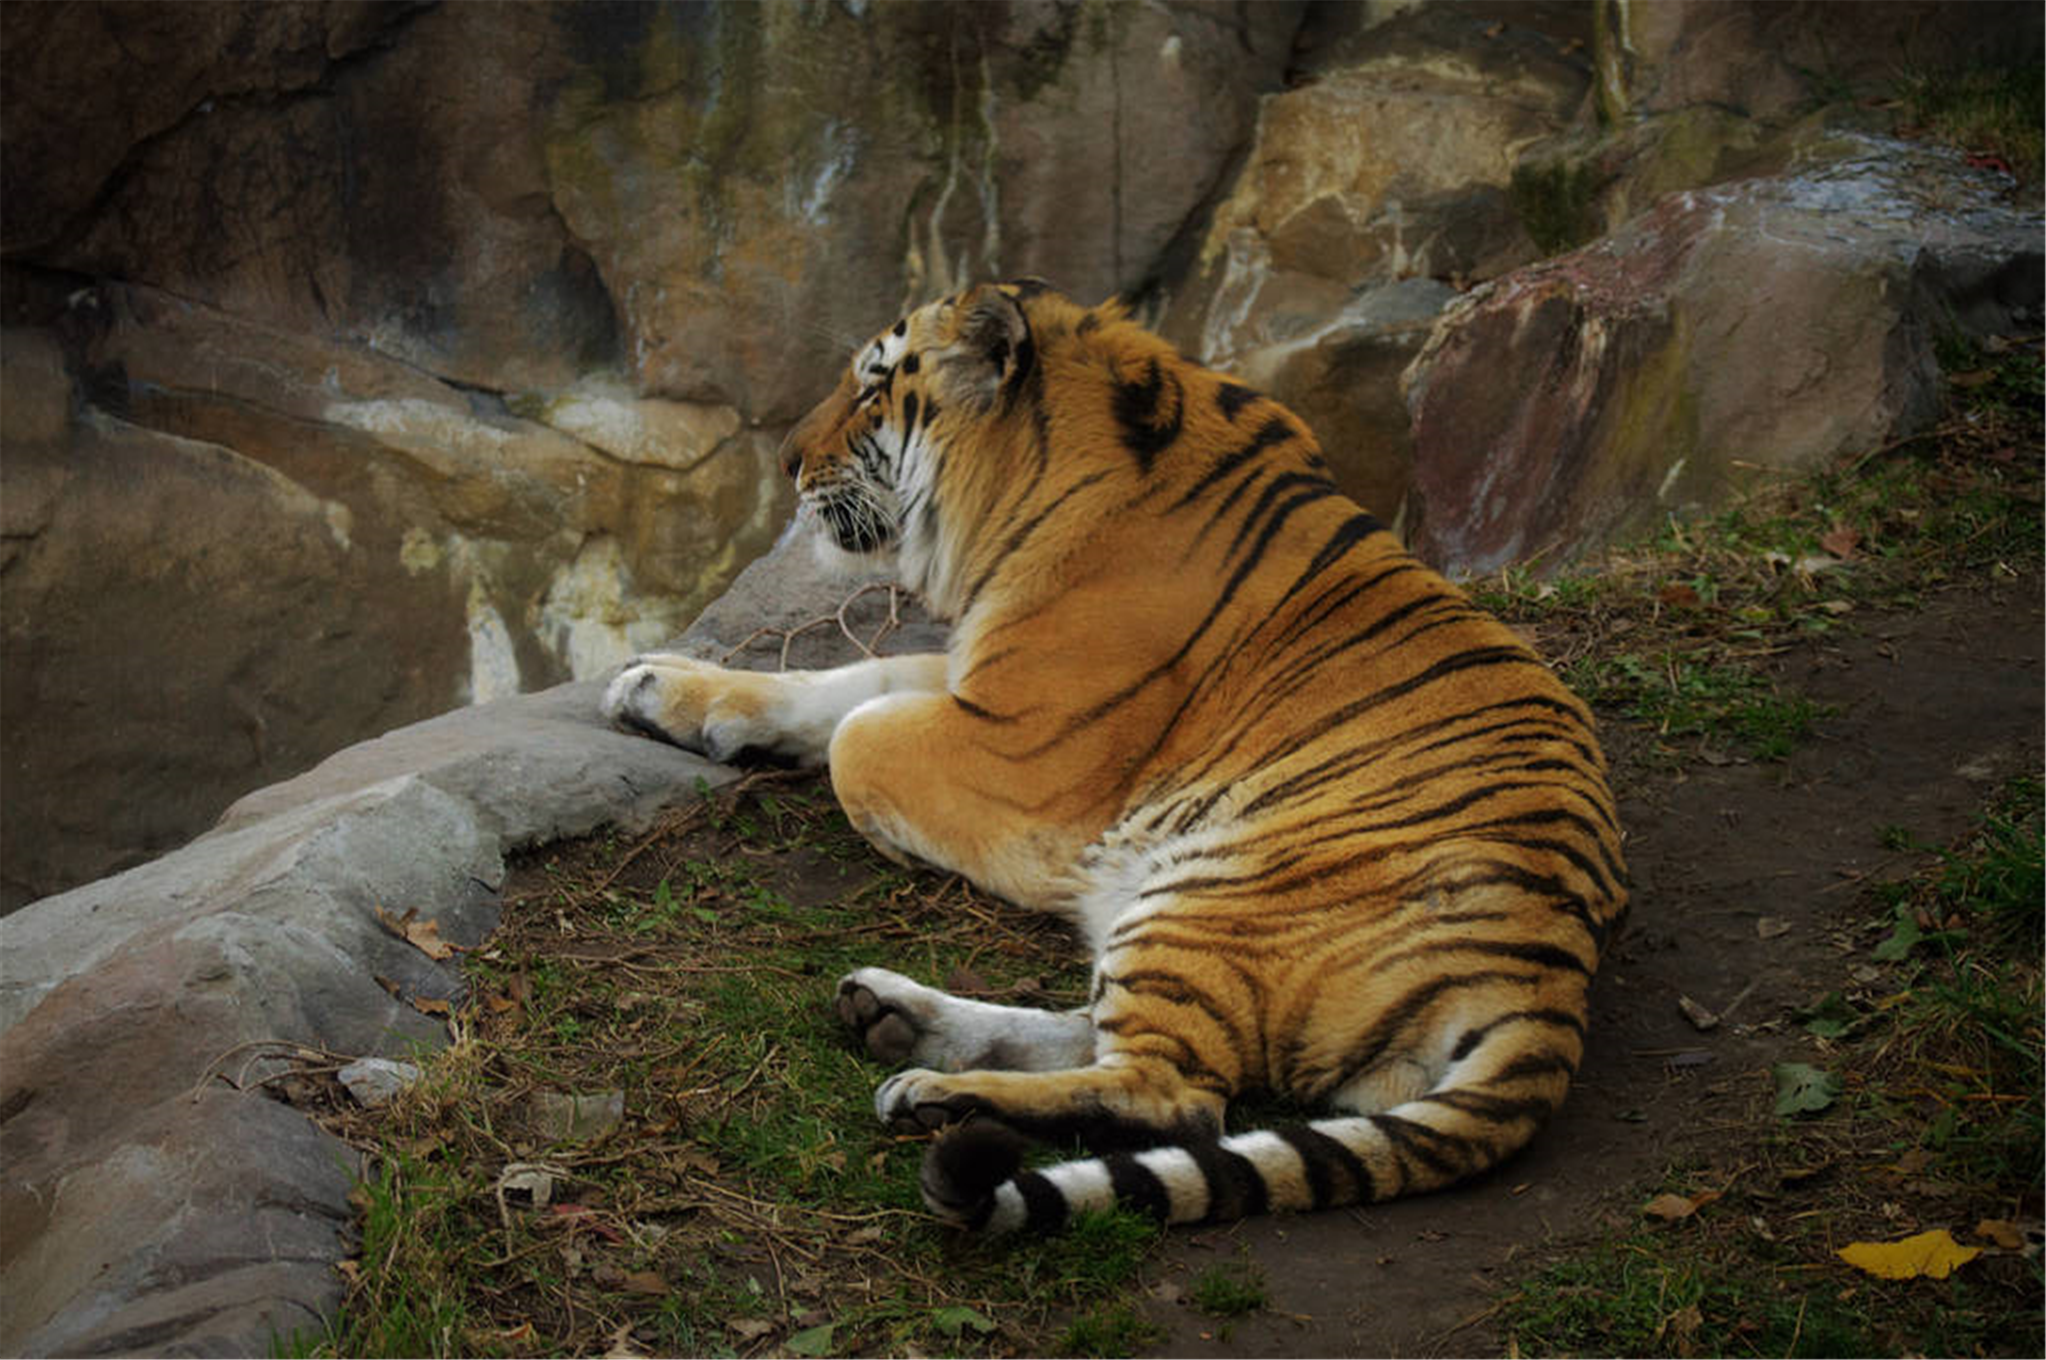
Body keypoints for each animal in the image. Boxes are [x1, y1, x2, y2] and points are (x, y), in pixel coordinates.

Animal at [597, 280, 1620, 1235]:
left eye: (874, 386)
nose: (785, 462)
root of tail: (1550, 973)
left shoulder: (1025, 754)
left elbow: (858, 732)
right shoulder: (974, 675)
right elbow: (848, 683)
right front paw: (656, 689)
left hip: (1215, 892)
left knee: (1174, 1098)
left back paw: (937, 1091)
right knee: (1103, 1038)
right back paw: (893, 1015)